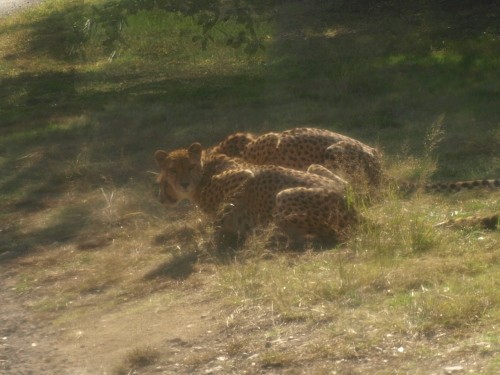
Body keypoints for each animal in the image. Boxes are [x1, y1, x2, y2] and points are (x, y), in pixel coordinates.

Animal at [154, 144, 358, 247]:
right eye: (173, 170)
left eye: (189, 167)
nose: (184, 183)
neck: (203, 171)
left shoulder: (244, 176)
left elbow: (224, 211)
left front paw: (216, 236)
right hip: (315, 168)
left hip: (283, 196)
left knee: (307, 236)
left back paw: (272, 236)